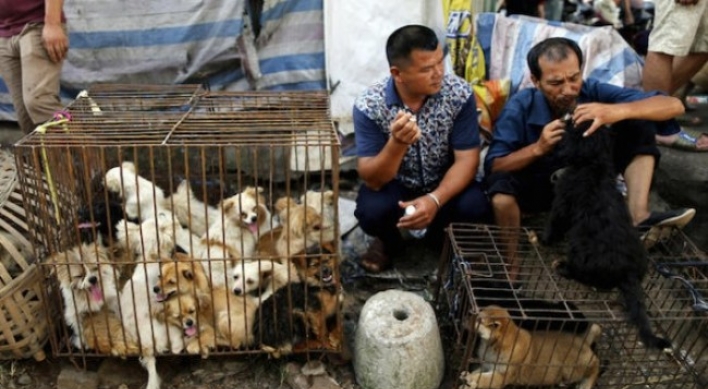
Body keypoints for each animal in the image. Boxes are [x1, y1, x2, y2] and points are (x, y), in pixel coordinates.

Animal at [460, 304, 604, 388]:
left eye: (478, 319)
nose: (465, 316)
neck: (490, 345)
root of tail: (583, 340)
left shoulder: (504, 374)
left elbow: (483, 378)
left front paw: (470, 378)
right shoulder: (487, 365)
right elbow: (478, 372)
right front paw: (467, 379)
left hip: (574, 368)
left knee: (596, 365)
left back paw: (585, 385)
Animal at [544, 117, 672, 348]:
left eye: (576, 126)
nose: (567, 118)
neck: (594, 164)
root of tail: (629, 272)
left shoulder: (563, 200)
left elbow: (555, 222)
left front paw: (544, 239)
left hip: (580, 250)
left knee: (583, 274)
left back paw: (564, 268)